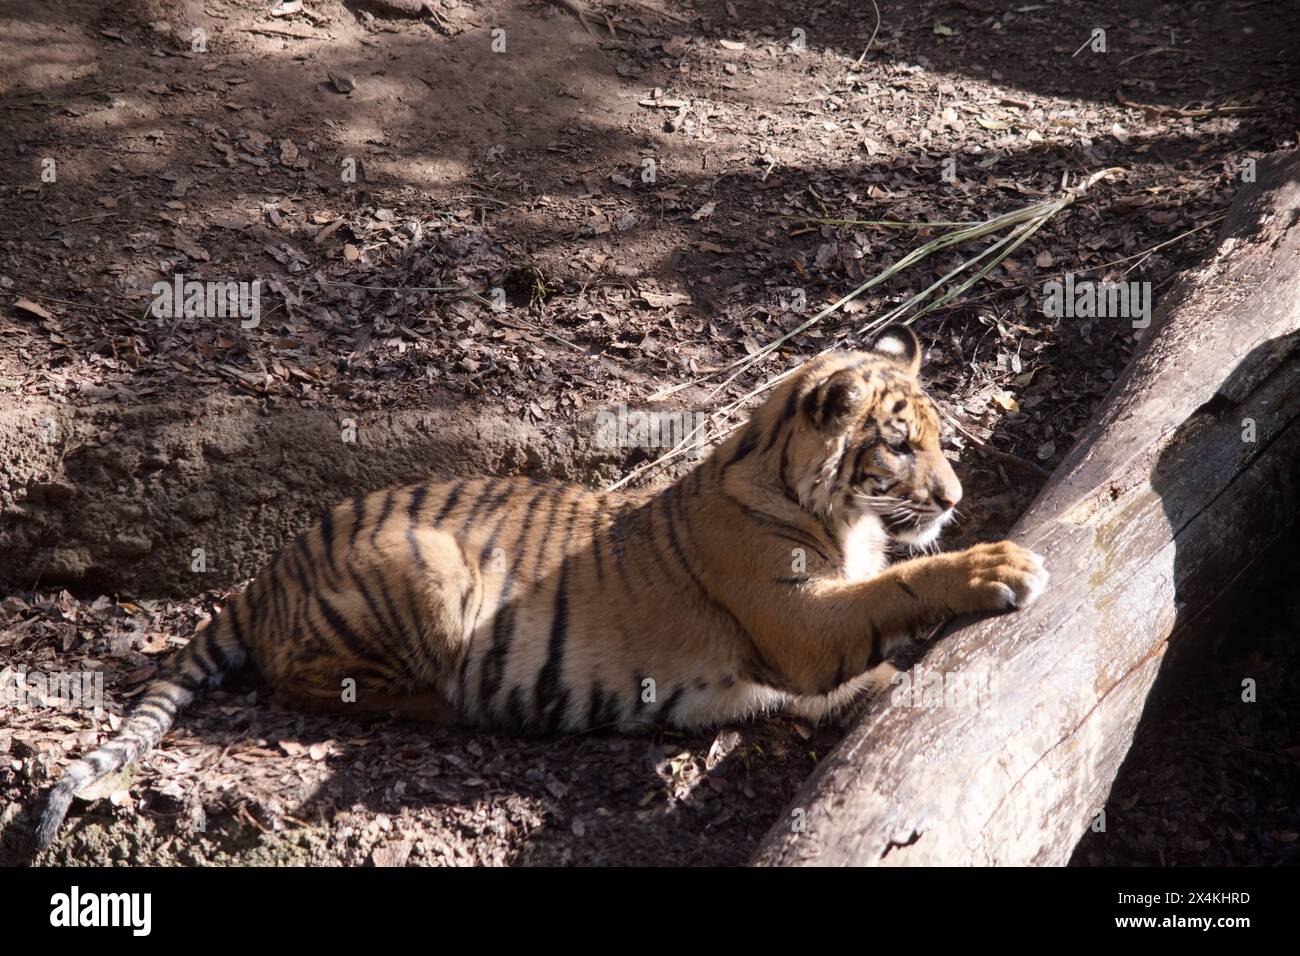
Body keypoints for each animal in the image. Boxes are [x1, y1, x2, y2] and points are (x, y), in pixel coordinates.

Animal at [32, 325, 1045, 848]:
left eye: (940, 439)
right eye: (901, 444)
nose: (955, 498)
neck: (831, 509)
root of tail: (273, 566)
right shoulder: (794, 621)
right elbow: (894, 592)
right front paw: (997, 566)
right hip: (434, 575)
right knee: (316, 682)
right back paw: (453, 704)